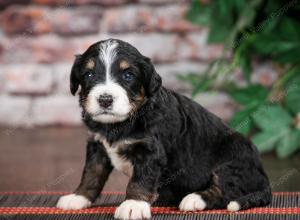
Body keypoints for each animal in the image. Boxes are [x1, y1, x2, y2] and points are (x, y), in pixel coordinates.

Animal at [56, 38, 272, 219]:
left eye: (128, 75)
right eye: (89, 74)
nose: (105, 99)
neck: (119, 124)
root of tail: (263, 179)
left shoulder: (150, 149)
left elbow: (141, 179)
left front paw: (133, 204)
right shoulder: (97, 146)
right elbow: (92, 173)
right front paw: (78, 197)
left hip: (233, 157)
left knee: (226, 190)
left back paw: (194, 199)